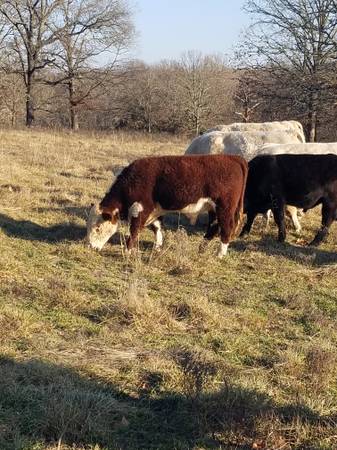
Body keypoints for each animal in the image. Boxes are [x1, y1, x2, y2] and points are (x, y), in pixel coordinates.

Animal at [84, 154, 247, 256]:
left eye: (97, 228)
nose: (90, 246)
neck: (131, 182)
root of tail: (234, 158)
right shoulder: (154, 210)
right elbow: (157, 227)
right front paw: (157, 246)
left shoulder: (140, 209)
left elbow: (134, 230)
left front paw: (129, 250)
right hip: (212, 208)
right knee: (213, 228)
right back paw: (201, 249)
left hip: (225, 208)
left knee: (226, 228)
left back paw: (219, 253)